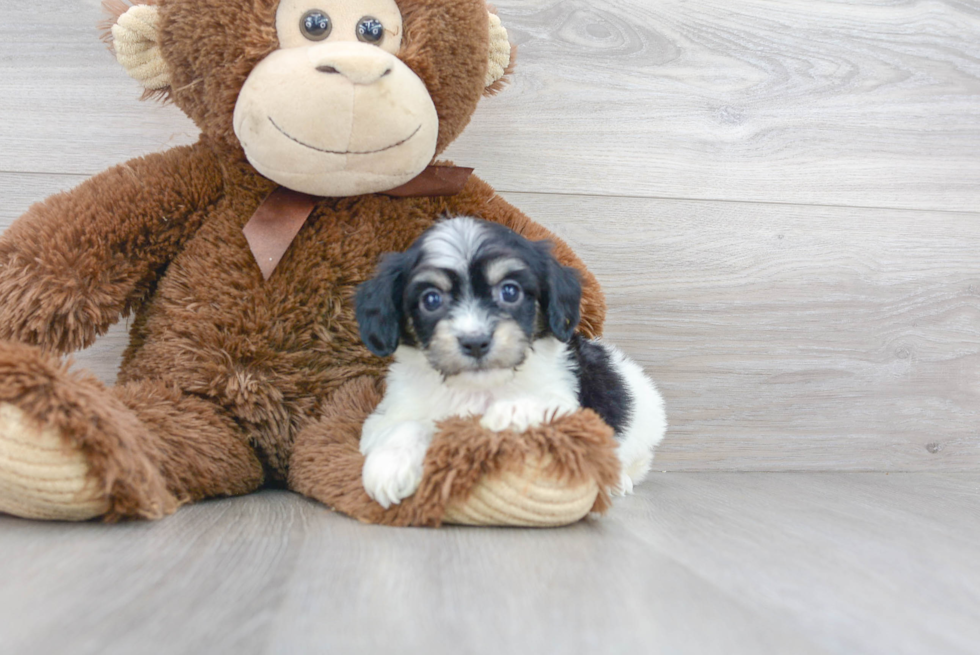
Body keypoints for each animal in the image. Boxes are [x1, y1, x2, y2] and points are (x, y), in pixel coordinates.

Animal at [352, 218, 668, 510]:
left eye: (510, 292)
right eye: (431, 299)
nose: (475, 342)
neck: (478, 387)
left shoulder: (571, 405)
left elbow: (545, 404)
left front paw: (512, 411)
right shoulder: (388, 414)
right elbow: (404, 425)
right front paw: (390, 464)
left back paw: (618, 480)